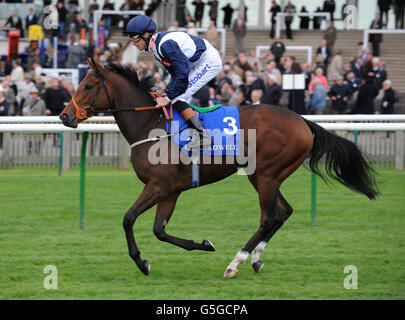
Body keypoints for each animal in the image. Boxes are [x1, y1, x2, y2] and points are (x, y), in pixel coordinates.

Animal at [58, 59, 378, 278]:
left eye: (88, 86)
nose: (64, 116)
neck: (150, 125)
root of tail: (303, 121)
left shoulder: (158, 186)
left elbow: (128, 219)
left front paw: (142, 262)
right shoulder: (171, 191)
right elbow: (160, 230)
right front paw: (203, 244)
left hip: (267, 175)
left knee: (268, 217)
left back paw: (235, 262)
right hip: (263, 175)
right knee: (283, 212)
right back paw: (256, 259)